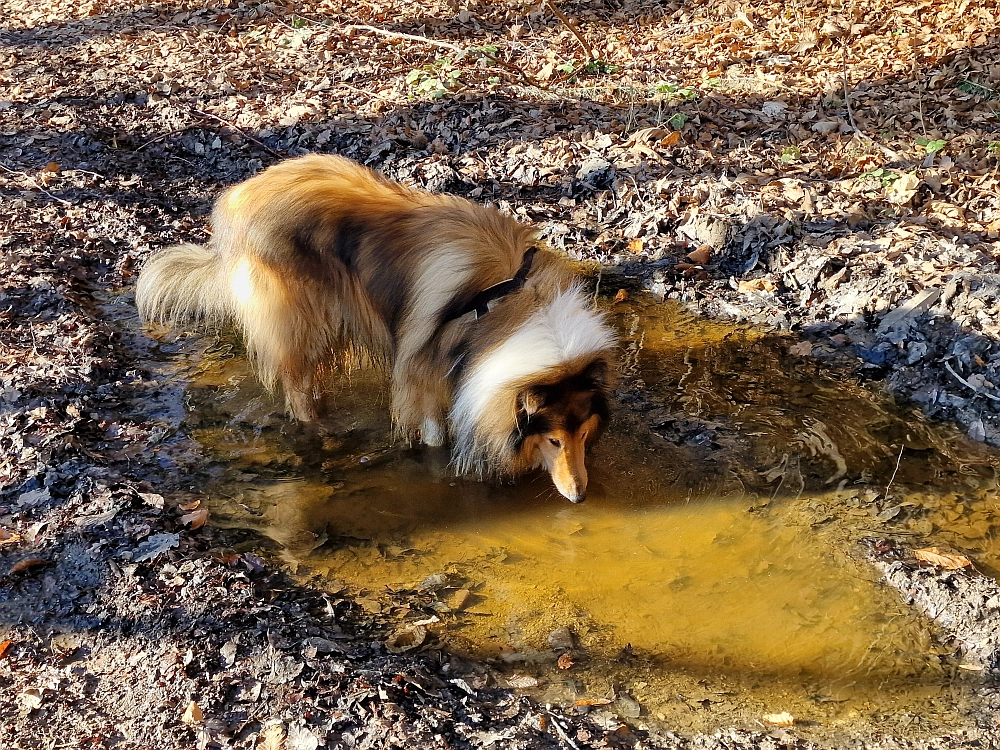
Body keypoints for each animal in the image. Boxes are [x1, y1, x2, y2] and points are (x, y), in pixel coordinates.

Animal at [135, 155, 616, 502]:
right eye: (552, 440)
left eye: (582, 433)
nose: (580, 497)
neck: (511, 297)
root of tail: (237, 196)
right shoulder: (422, 371)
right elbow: (432, 430)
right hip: (300, 326)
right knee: (296, 386)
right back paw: (318, 428)